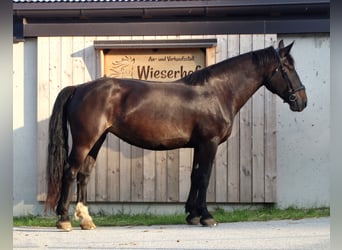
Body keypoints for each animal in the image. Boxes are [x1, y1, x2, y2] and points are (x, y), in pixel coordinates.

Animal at [44, 39, 308, 230]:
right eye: (288, 68)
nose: (302, 101)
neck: (217, 91)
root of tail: (79, 88)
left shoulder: (199, 145)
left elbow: (195, 176)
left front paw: (192, 215)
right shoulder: (209, 143)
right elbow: (205, 177)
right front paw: (206, 216)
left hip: (97, 140)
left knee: (84, 174)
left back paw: (86, 220)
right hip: (84, 141)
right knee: (70, 172)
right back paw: (64, 220)